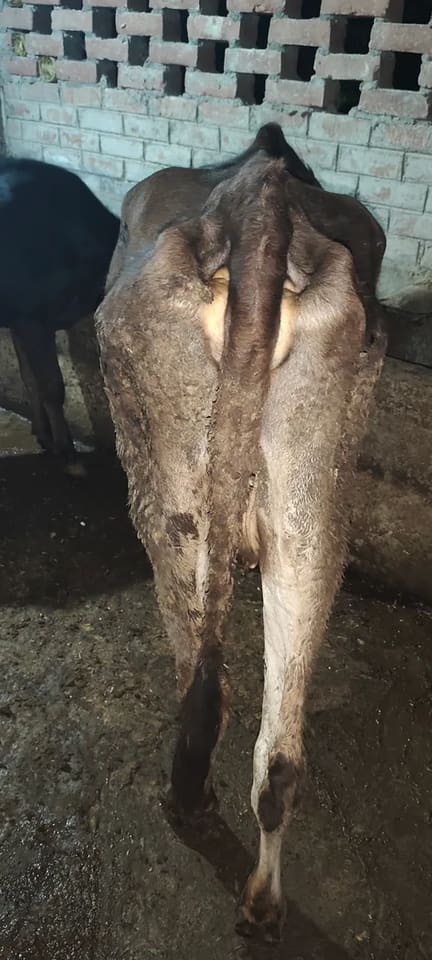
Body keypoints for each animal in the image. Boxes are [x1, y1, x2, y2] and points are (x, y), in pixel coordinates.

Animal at [0, 157, 119, 474]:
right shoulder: (31, 320)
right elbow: (52, 385)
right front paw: (68, 453)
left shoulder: (21, 320)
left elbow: (31, 379)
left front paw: (44, 436)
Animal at [96, 123, 387, 941]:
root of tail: (259, 209)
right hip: (313, 491)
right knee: (280, 754)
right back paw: (262, 901)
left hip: (168, 492)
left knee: (203, 686)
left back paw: (188, 802)